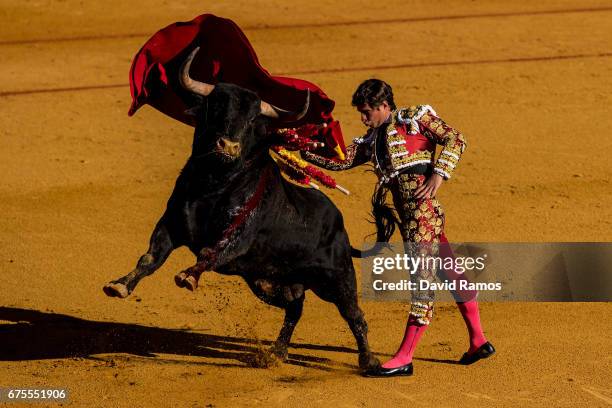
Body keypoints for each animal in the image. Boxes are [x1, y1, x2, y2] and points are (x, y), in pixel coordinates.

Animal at [104, 47, 380, 370]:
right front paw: (119, 286)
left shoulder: (238, 236)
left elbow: (210, 252)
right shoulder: (171, 225)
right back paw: (276, 352)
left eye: (251, 121)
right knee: (295, 307)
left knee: (354, 315)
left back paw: (369, 360)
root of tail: (339, 224)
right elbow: (149, 258)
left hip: (336, 278)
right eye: (216, 110)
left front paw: (188, 277)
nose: (229, 146)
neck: (211, 184)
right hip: (267, 283)